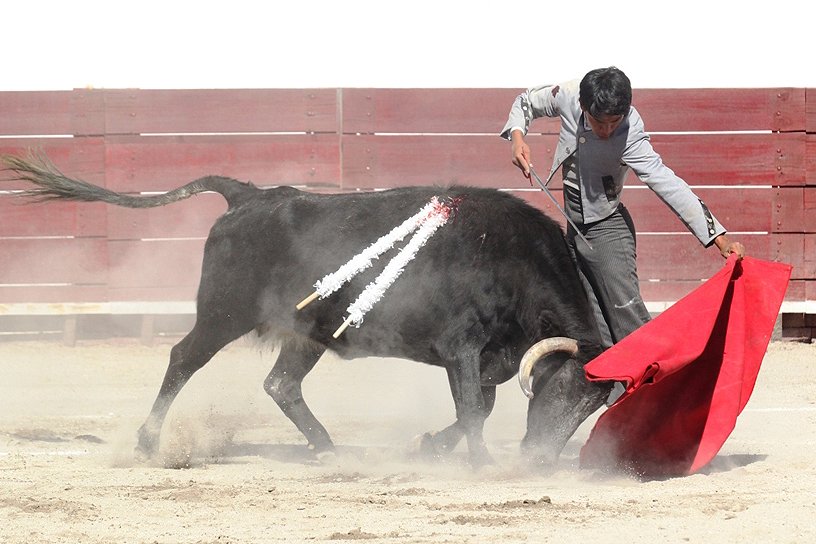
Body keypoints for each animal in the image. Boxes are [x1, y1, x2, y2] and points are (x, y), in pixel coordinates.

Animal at [1, 153, 612, 469]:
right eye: (563, 389)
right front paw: (479, 465)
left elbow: (476, 409)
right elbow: (472, 411)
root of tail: (249, 196)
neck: (510, 260)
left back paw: (326, 448)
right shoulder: (460, 347)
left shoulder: (489, 360)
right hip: (224, 313)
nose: (540, 460)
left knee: (281, 384)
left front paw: (431, 447)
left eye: (592, 406)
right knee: (182, 359)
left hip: (305, 332)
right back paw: (149, 443)